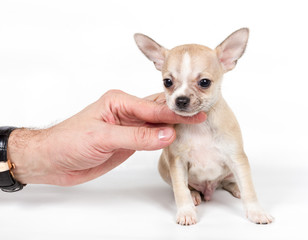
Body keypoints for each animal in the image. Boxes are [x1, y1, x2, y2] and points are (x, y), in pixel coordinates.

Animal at [134, 28, 274, 225]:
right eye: (167, 82)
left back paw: (235, 188)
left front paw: (256, 211)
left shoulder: (237, 159)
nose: (181, 99)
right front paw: (186, 211)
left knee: (227, 182)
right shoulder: (177, 163)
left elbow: (249, 188)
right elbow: (180, 190)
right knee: (187, 187)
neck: (199, 125)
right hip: (164, 168)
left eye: (205, 82)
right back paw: (194, 195)